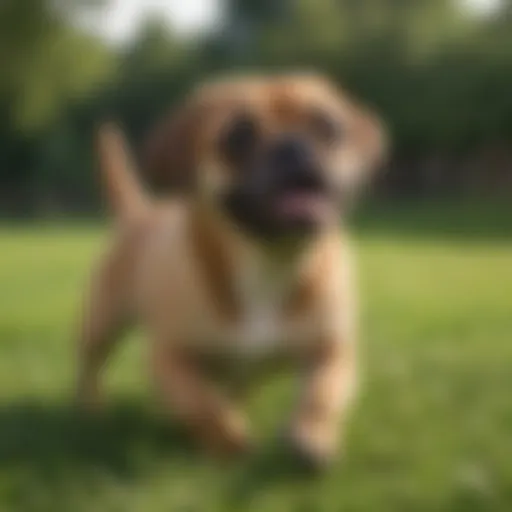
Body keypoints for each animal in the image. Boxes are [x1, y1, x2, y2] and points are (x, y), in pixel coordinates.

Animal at [78, 74, 386, 470]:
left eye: (327, 126)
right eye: (239, 136)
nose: (293, 147)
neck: (268, 261)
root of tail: (140, 212)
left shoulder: (330, 350)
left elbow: (322, 395)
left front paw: (312, 435)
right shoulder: (170, 358)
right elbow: (201, 405)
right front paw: (229, 441)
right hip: (102, 323)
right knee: (91, 367)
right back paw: (91, 409)